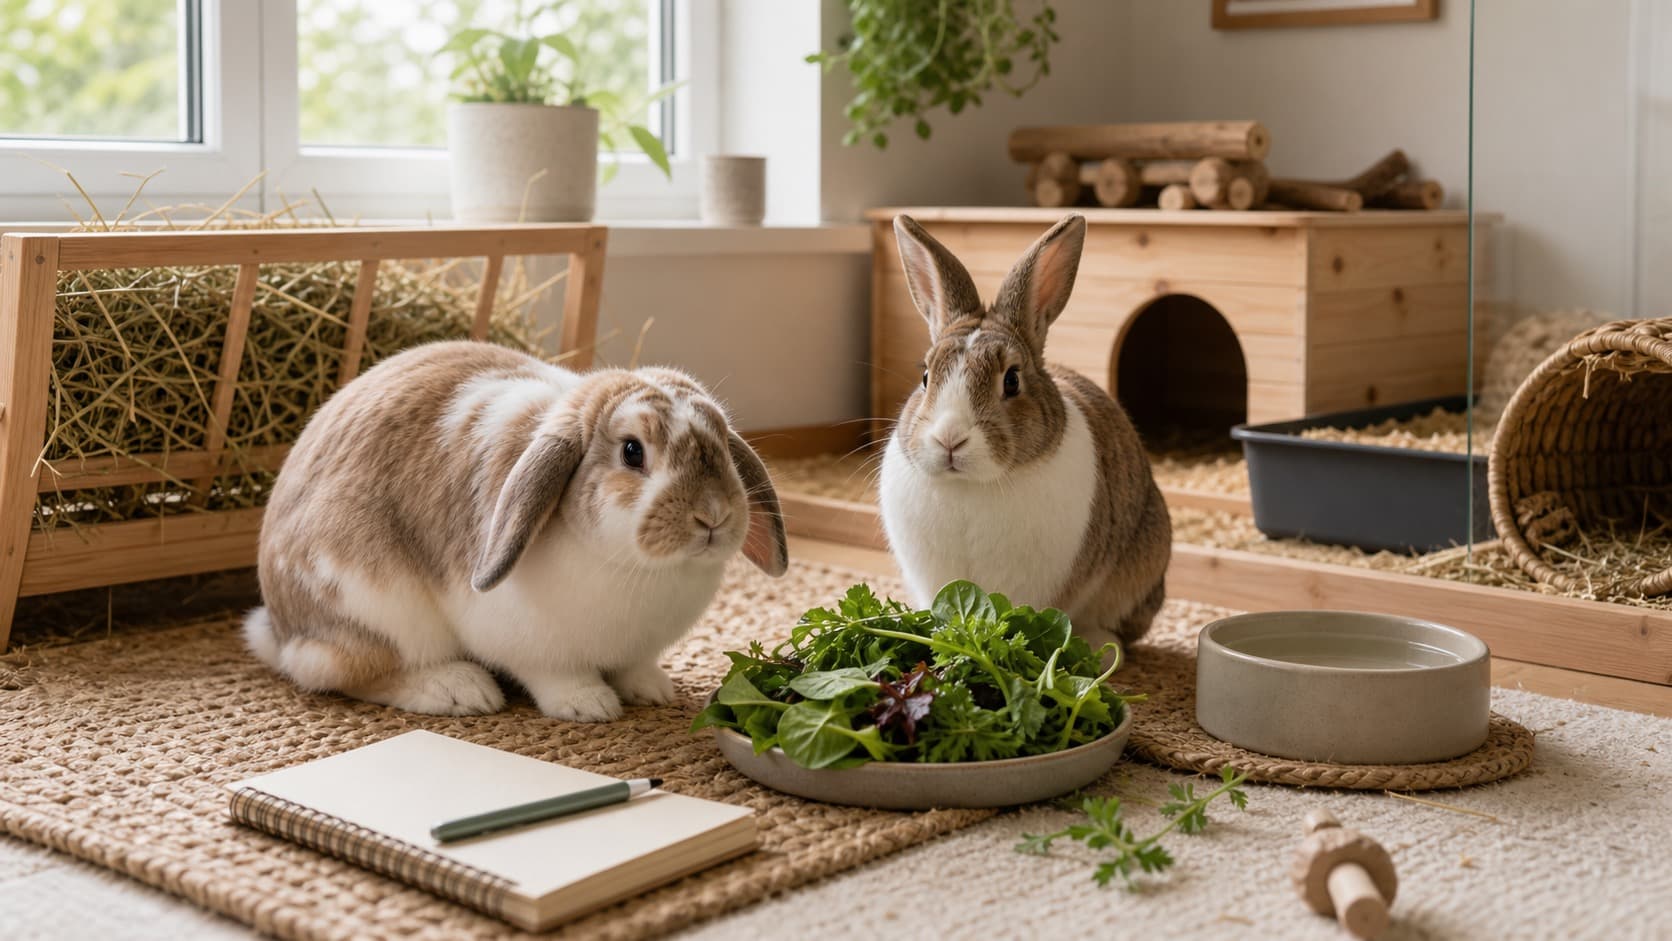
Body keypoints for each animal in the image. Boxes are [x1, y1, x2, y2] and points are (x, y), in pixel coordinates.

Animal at [243, 340, 788, 721]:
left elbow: (633, 666)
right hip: (372, 605)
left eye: (720, 444)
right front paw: (590, 705)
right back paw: (459, 690)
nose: (713, 515)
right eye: (633, 451)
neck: (643, 569)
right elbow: (555, 676)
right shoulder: (529, 642)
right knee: (342, 669)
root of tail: (279, 626)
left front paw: (651, 690)